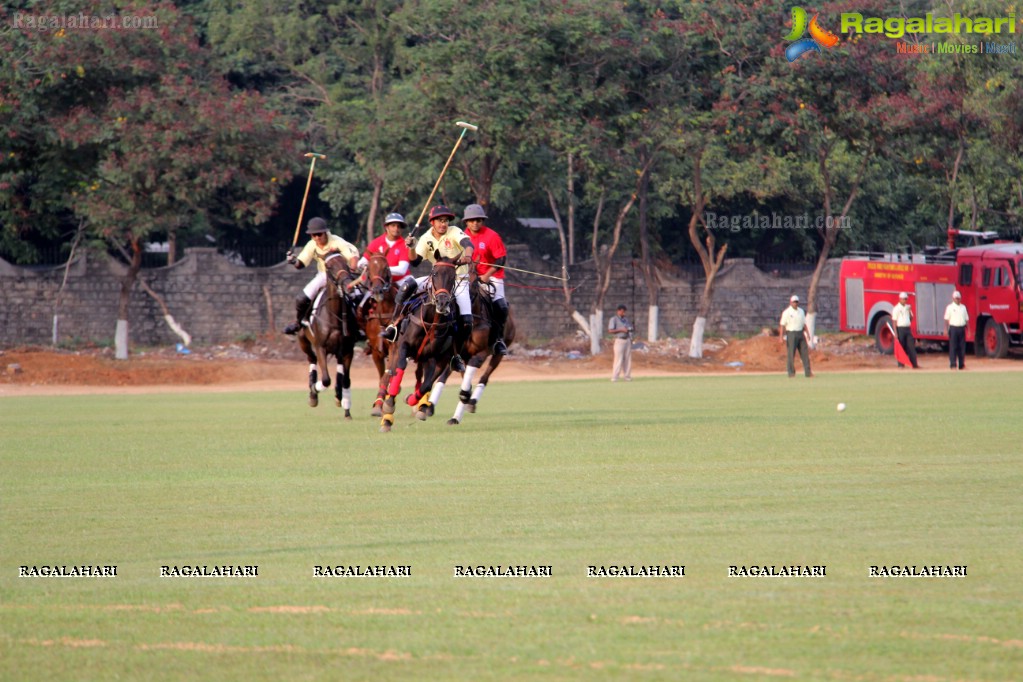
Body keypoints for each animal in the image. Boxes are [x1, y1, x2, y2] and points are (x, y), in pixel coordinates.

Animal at [296, 250, 360, 419]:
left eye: (345, 263)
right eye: (329, 266)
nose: (348, 285)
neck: (334, 314)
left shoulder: (348, 350)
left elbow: (346, 380)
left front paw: (346, 408)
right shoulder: (321, 347)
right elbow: (325, 380)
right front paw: (314, 389)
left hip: (339, 351)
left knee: (340, 373)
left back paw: (339, 396)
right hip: (303, 341)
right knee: (311, 359)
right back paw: (313, 392)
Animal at [380, 255, 460, 431]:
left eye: (453, 276)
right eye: (435, 273)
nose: (442, 302)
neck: (430, 321)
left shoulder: (431, 358)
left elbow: (427, 385)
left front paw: (411, 399)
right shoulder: (403, 347)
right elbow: (401, 367)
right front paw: (389, 404)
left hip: (441, 359)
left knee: (428, 380)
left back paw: (420, 406)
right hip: (395, 349)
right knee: (391, 373)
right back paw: (386, 418)